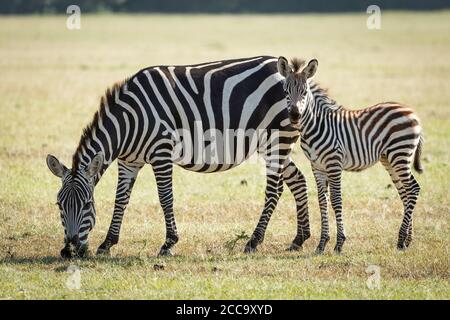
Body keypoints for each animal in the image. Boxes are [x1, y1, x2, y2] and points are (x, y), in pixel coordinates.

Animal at [47, 56, 312, 258]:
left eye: (87, 204)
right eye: (59, 205)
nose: (69, 250)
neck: (130, 121)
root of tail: (294, 74)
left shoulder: (161, 154)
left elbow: (166, 198)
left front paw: (168, 243)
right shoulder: (129, 161)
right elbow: (120, 199)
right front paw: (107, 243)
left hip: (277, 139)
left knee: (274, 190)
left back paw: (254, 241)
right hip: (273, 144)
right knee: (297, 180)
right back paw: (299, 239)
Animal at [276, 56, 424, 254]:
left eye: (305, 92)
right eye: (286, 91)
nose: (294, 115)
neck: (316, 125)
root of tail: (411, 111)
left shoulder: (334, 163)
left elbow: (336, 200)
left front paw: (339, 243)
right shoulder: (317, 166)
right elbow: (322, 201)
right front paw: (321, 244)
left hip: (400, 154)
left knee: (413, 189)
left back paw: (401, 240)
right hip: (390, 159)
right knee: (406, 192)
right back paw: (407, 240)